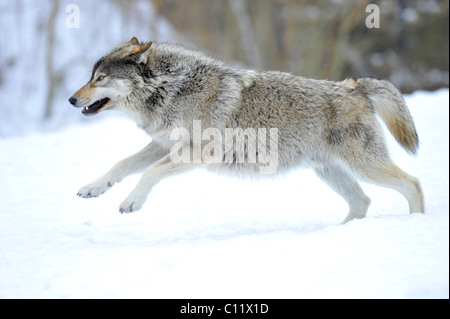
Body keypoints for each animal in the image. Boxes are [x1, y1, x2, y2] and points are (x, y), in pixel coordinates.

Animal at [68, 36, 424, 224]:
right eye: (91, 77)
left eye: (100, 78)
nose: (71, 99)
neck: (172, 89)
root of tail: (354, 85)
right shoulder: (164, 145)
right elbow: (123, 164)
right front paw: (93, 188)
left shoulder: (197, 152)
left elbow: (149, 173)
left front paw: (132, 202)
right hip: (329, 172)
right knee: (361, 202)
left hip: (363, 166)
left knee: (413, 183)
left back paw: (416, 223)